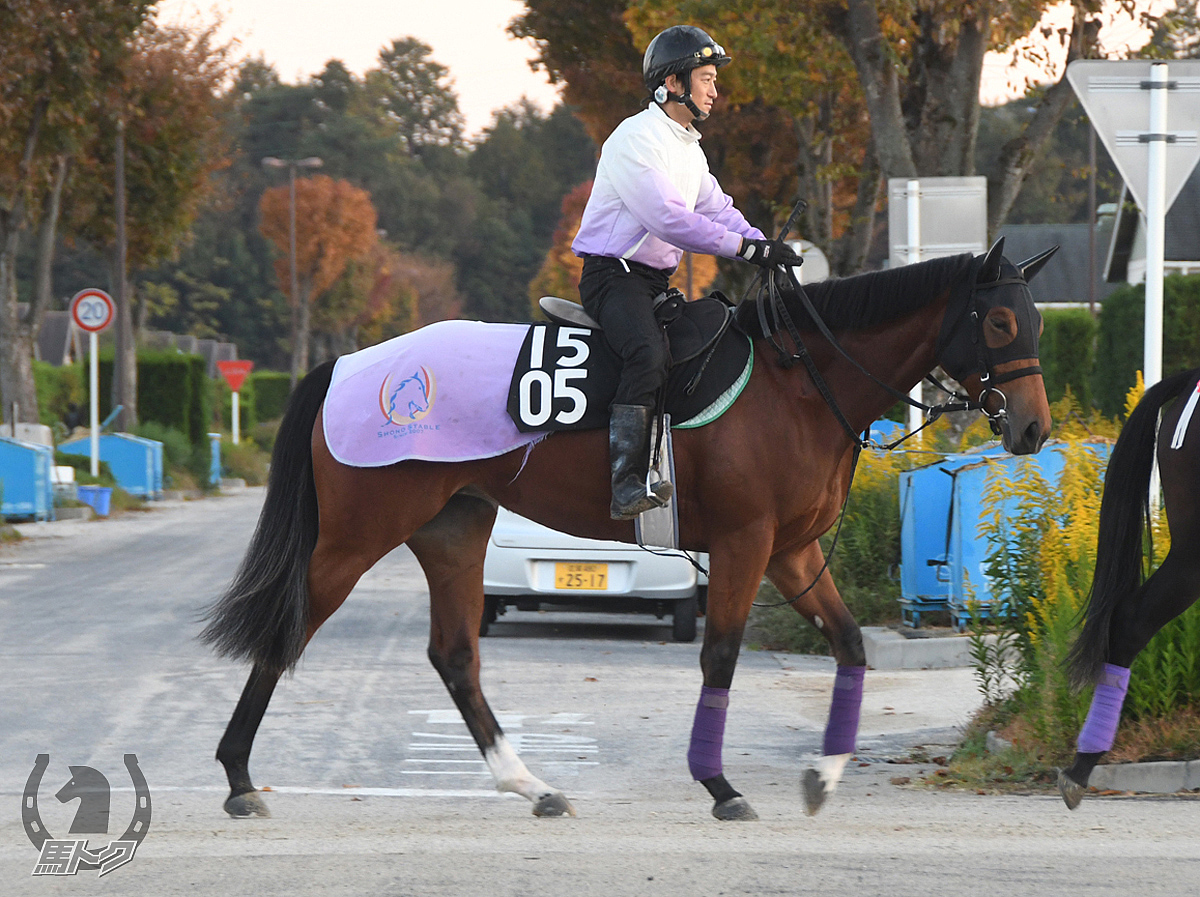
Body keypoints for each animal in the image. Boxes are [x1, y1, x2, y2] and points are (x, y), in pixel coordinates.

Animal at [201, 238, 1056, 820]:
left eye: (1038, 321)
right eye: (1000, 319)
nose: (1034, 429)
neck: (797, 385)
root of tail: (348, 365)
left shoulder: (792, 549)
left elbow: (849, 642)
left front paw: (823, 773)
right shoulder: (745, 542)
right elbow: (720, 654)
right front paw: (719, 784)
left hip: (453, 529)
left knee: (454, 655)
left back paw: (532, 784)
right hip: (356, 536)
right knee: (290, 629)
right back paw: (239, 777)